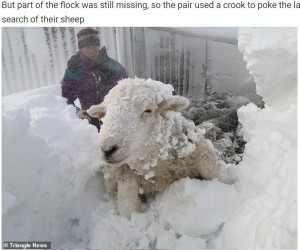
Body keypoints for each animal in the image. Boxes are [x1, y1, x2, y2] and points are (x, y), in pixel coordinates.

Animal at [88, 78, 219, 219]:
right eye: (105, 113)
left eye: (148, 110)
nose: (107, 149)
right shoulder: (123, 173)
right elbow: (126, 207)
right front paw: (139, 207)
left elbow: (210, 167)